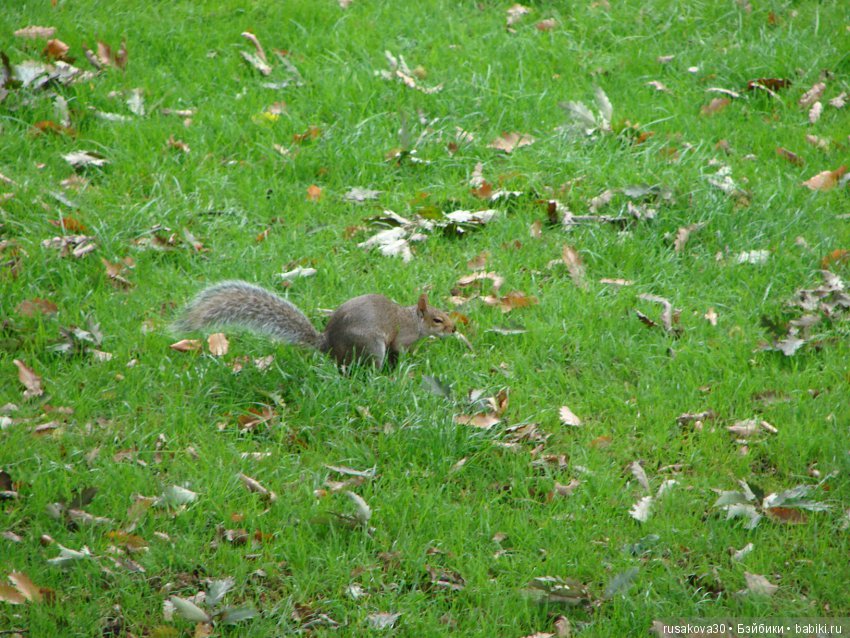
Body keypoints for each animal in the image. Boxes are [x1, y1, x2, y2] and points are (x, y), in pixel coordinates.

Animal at [173, 280, 456, 367]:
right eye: (437, 319)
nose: (454, 328)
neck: (412, 320)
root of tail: (328, 345)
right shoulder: (400, 338)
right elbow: (398, 351)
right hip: (372, 346)